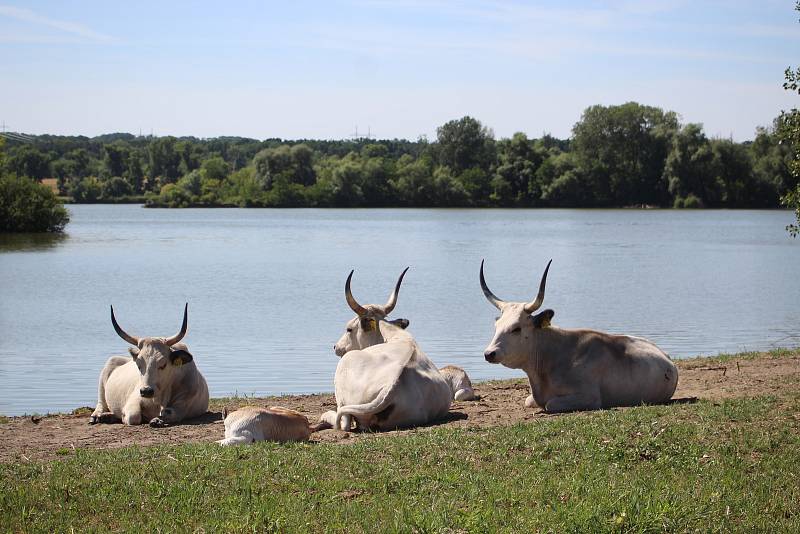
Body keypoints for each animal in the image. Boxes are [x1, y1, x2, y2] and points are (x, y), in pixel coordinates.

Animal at [478, 262, 680, 416]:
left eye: (517, 328)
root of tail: (667, 358)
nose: (489, 353)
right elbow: (529, 401)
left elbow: (550, 404)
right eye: (496, 326)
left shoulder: (589, 397)